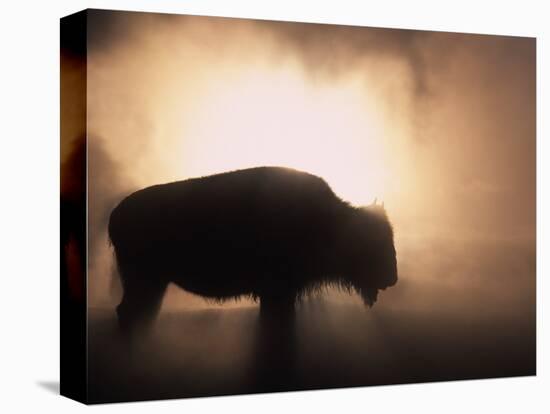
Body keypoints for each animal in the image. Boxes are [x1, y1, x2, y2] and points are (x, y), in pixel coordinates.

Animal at [108, 165, 398, 334]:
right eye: (375, 241)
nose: (392, 278)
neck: (332, 221)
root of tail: (116, 213)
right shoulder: (277, 292)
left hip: (155, 283)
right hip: (143, 281)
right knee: (130, 312)